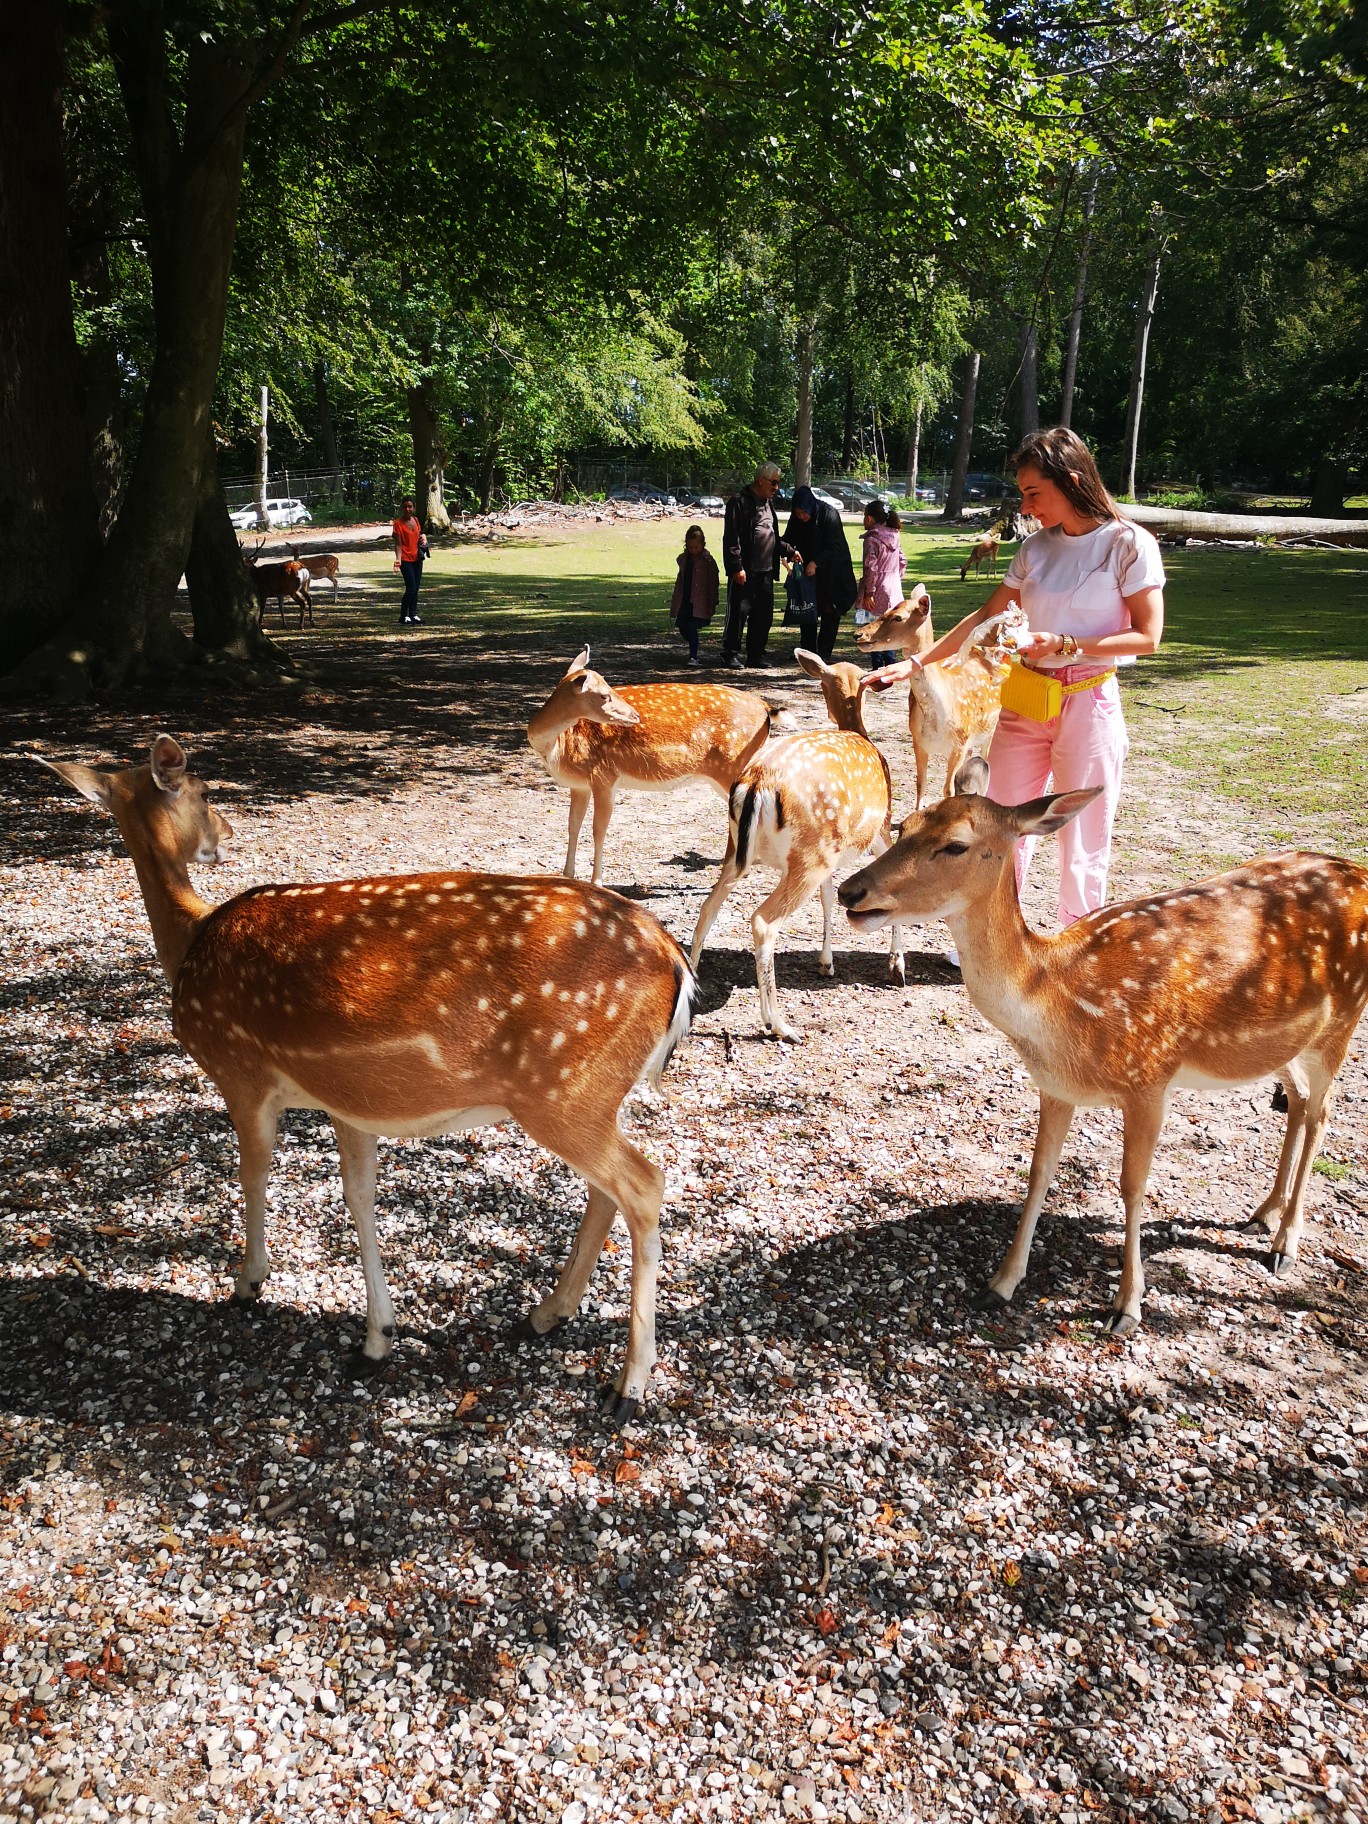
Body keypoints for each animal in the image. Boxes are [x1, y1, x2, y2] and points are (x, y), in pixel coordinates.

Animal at [37, 733, 700, 1415]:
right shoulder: (345, 1102)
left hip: (562, 1089)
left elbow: (252, 1174)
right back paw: (546, 1315)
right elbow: (359, 1196)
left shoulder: (240, 1072)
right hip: (594, 1093)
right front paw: (378, 1337)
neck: (191, 942)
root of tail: (677, 963)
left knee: (645, 1183)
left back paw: (629, 1384)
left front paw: (248, 1283)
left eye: (200, 787)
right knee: (608, 1190)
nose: (225, 833)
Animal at [528, 652, 780, 886]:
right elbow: (572, 825)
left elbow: (598, 830)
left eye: (609, 689)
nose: (634, 715)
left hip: (732, 766)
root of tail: (766, 707)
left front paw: (596, 882)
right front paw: (567, 875)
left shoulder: (604, 775)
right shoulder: (579, 785)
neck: (559, 747)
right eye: (604, 695)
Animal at [689, 652, 904, 1043]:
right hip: (809, 855)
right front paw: (897, 966)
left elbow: (829, 901)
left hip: (743, 850)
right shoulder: (880, 827)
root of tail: (757, 782)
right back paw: (779, 1024)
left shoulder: (832, 858)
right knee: (762, 921)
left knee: (707, 908)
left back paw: (693, 986)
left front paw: (826, 963)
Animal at [842, 755, 1368, 1342]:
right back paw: (1262, 1213)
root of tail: (1359, 872)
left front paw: (1127, 1306)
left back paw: (1285, 1244)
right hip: (1280, 1045)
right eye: (903, 826)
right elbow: (1038, 1174)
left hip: (1343, 1017)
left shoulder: (1150, 1079)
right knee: (1297, 1101)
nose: (849, 892)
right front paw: (1000, 1283)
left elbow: (1132, 1186)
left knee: (1323, 1112)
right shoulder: (1055, 1087)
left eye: (955, 844)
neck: (1064, 1004)